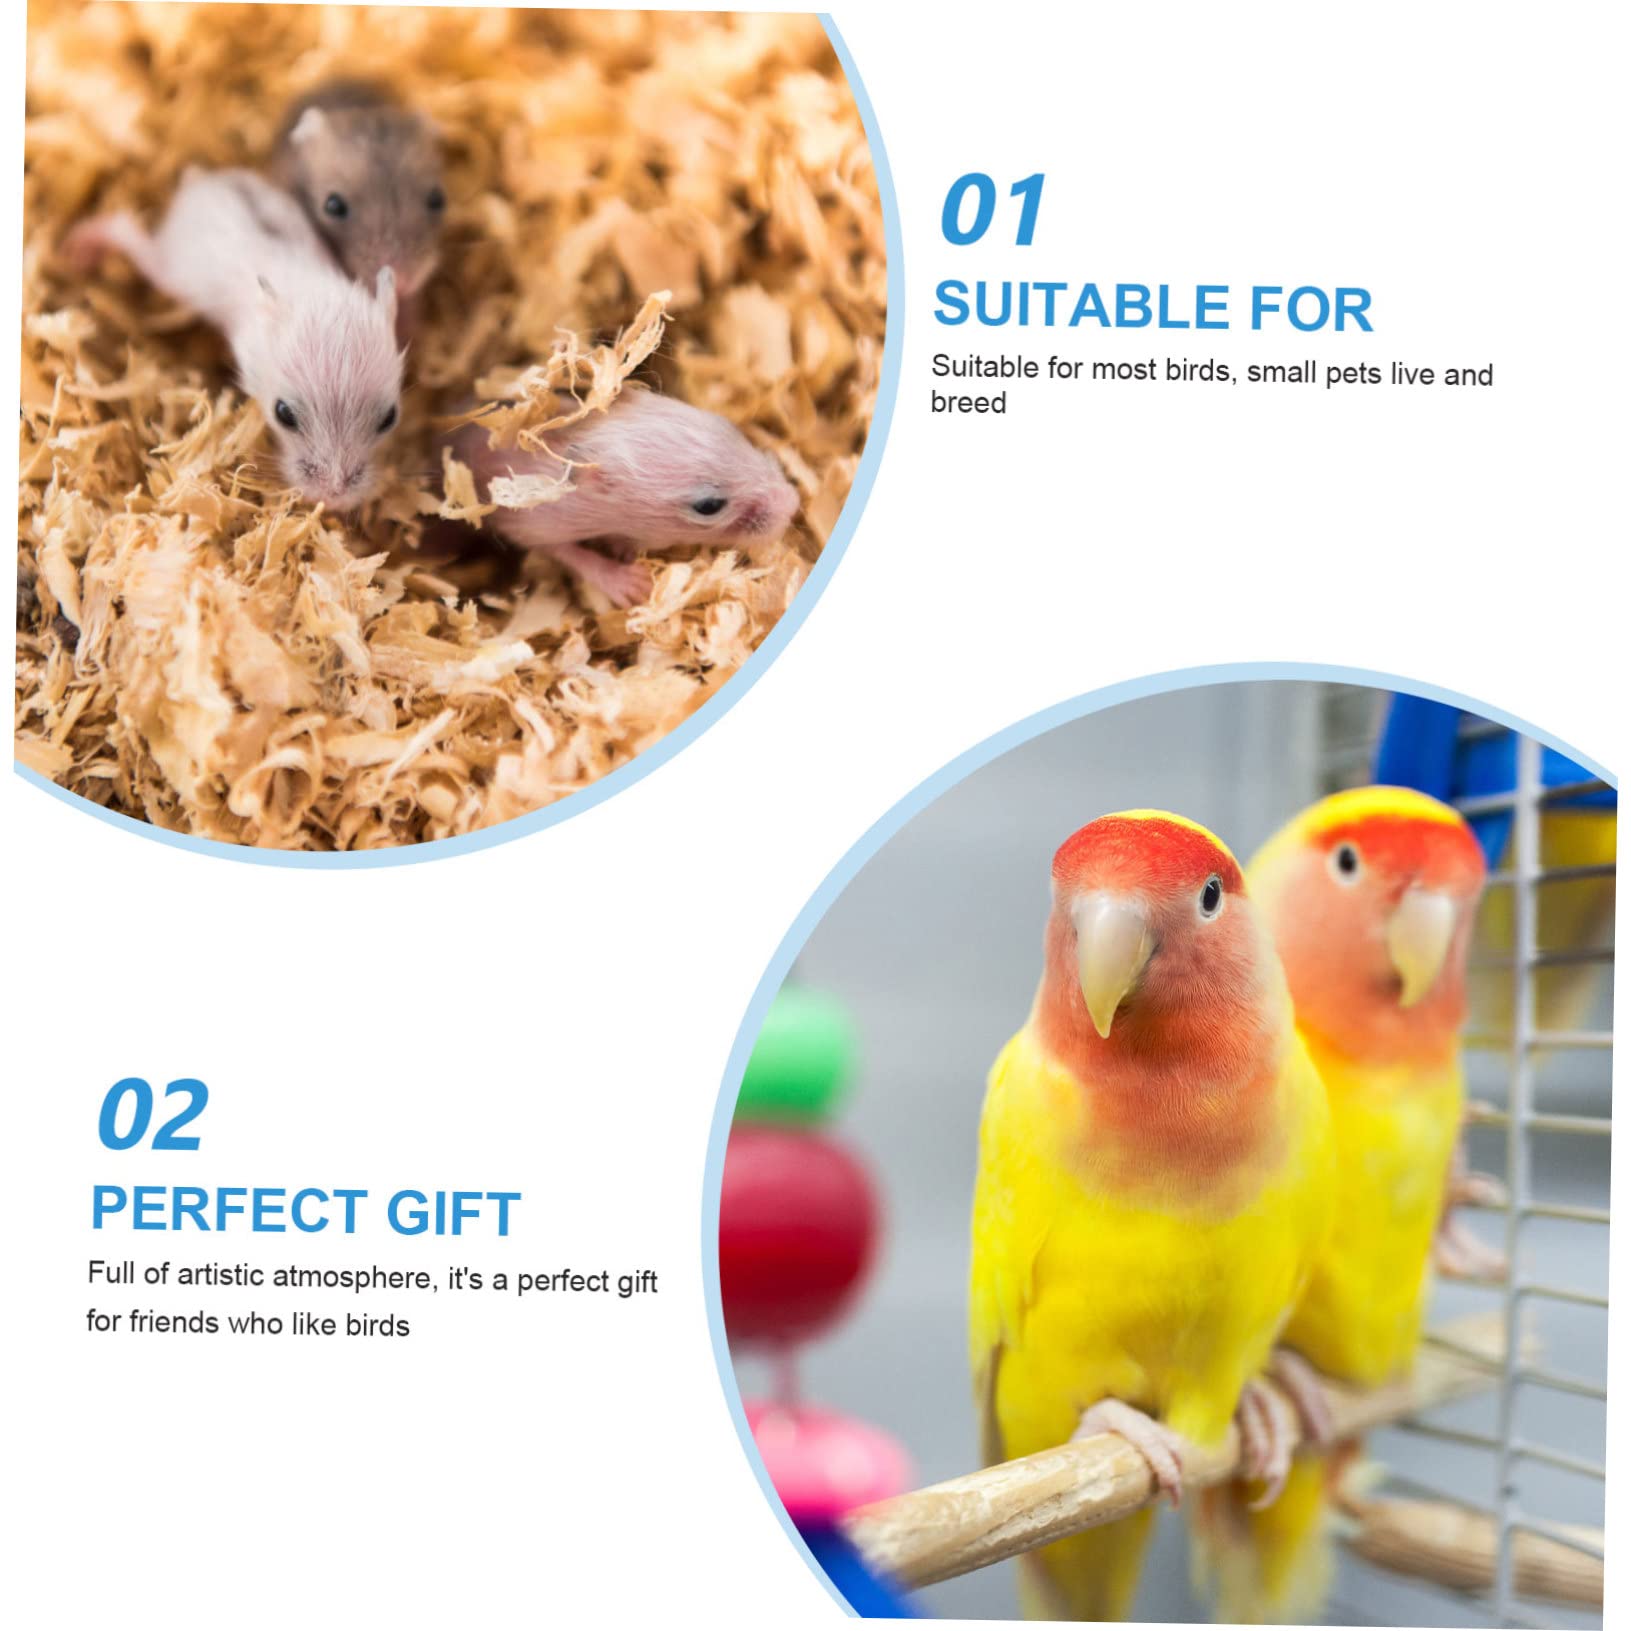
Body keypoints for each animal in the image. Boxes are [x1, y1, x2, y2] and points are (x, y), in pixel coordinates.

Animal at [62, 167, 404, 510]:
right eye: (283, 414)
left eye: (390, 418)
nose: (333, 499)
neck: (315, 292)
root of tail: (202, 182)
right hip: (172, 269)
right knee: (131, 236)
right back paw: (83, 244)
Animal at [442, 389, 801, 607]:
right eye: (709, 506)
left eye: (729, 425)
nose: (792, 503)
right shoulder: (533, 523)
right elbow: (570, 553)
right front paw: (635, 585)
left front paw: (623, 547)